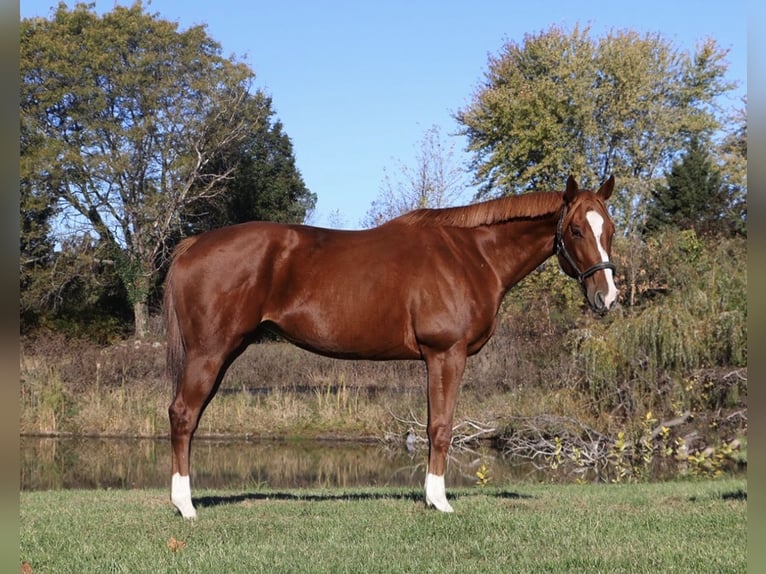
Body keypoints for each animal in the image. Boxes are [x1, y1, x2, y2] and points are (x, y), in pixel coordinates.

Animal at [163, 174, 618, 518]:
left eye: (610, 231)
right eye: (576, 230)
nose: (608, 297)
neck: (471, 255)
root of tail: (192, 246)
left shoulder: (437, 358)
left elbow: (435, 424)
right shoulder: (446, 354)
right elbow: (441, 427)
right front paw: (439, 502)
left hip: (224, 352)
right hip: (211, 351)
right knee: (183, 415)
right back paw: (185, 507)